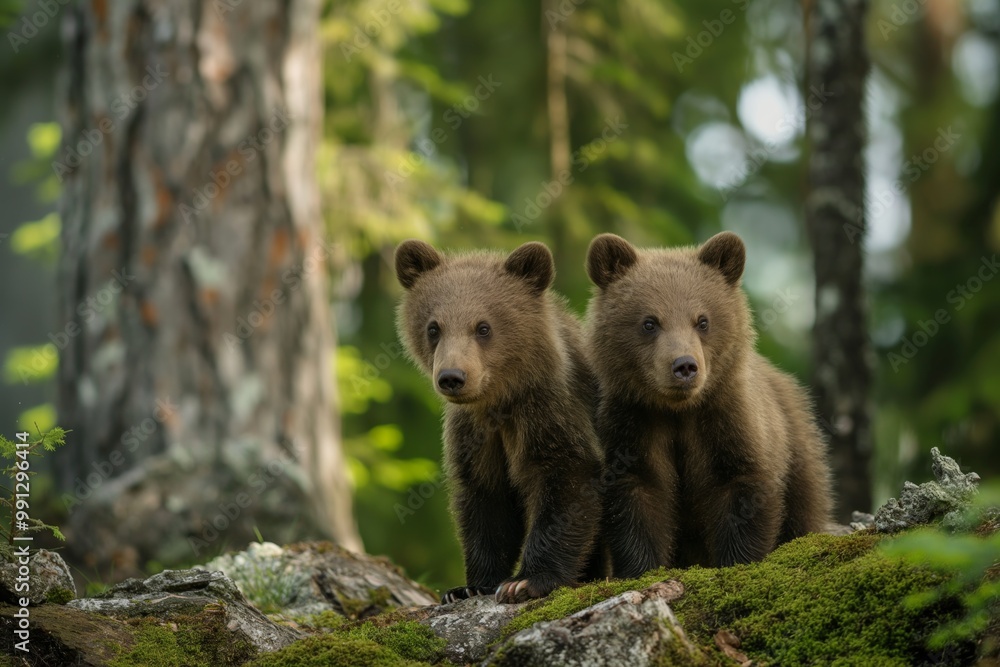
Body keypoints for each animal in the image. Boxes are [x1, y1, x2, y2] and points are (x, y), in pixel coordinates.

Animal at [395, 239, 605, 603]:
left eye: (483, 327)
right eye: (434, 328)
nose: (452, 377)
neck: (501, 403)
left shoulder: (552, 413)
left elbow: (569, 481)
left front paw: (526, 581)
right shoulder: (475, 435)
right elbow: (486, 500)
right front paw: (468, 587)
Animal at [584, 231, 833, 577]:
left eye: (702, 321)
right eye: (650, 322)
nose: (685, 365)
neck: (678, 410)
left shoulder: (728, 420)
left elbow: (742, 488)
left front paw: (737, 561)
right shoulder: (633, 424)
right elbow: (636, 497)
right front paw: (643, 568)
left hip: (800, 448)